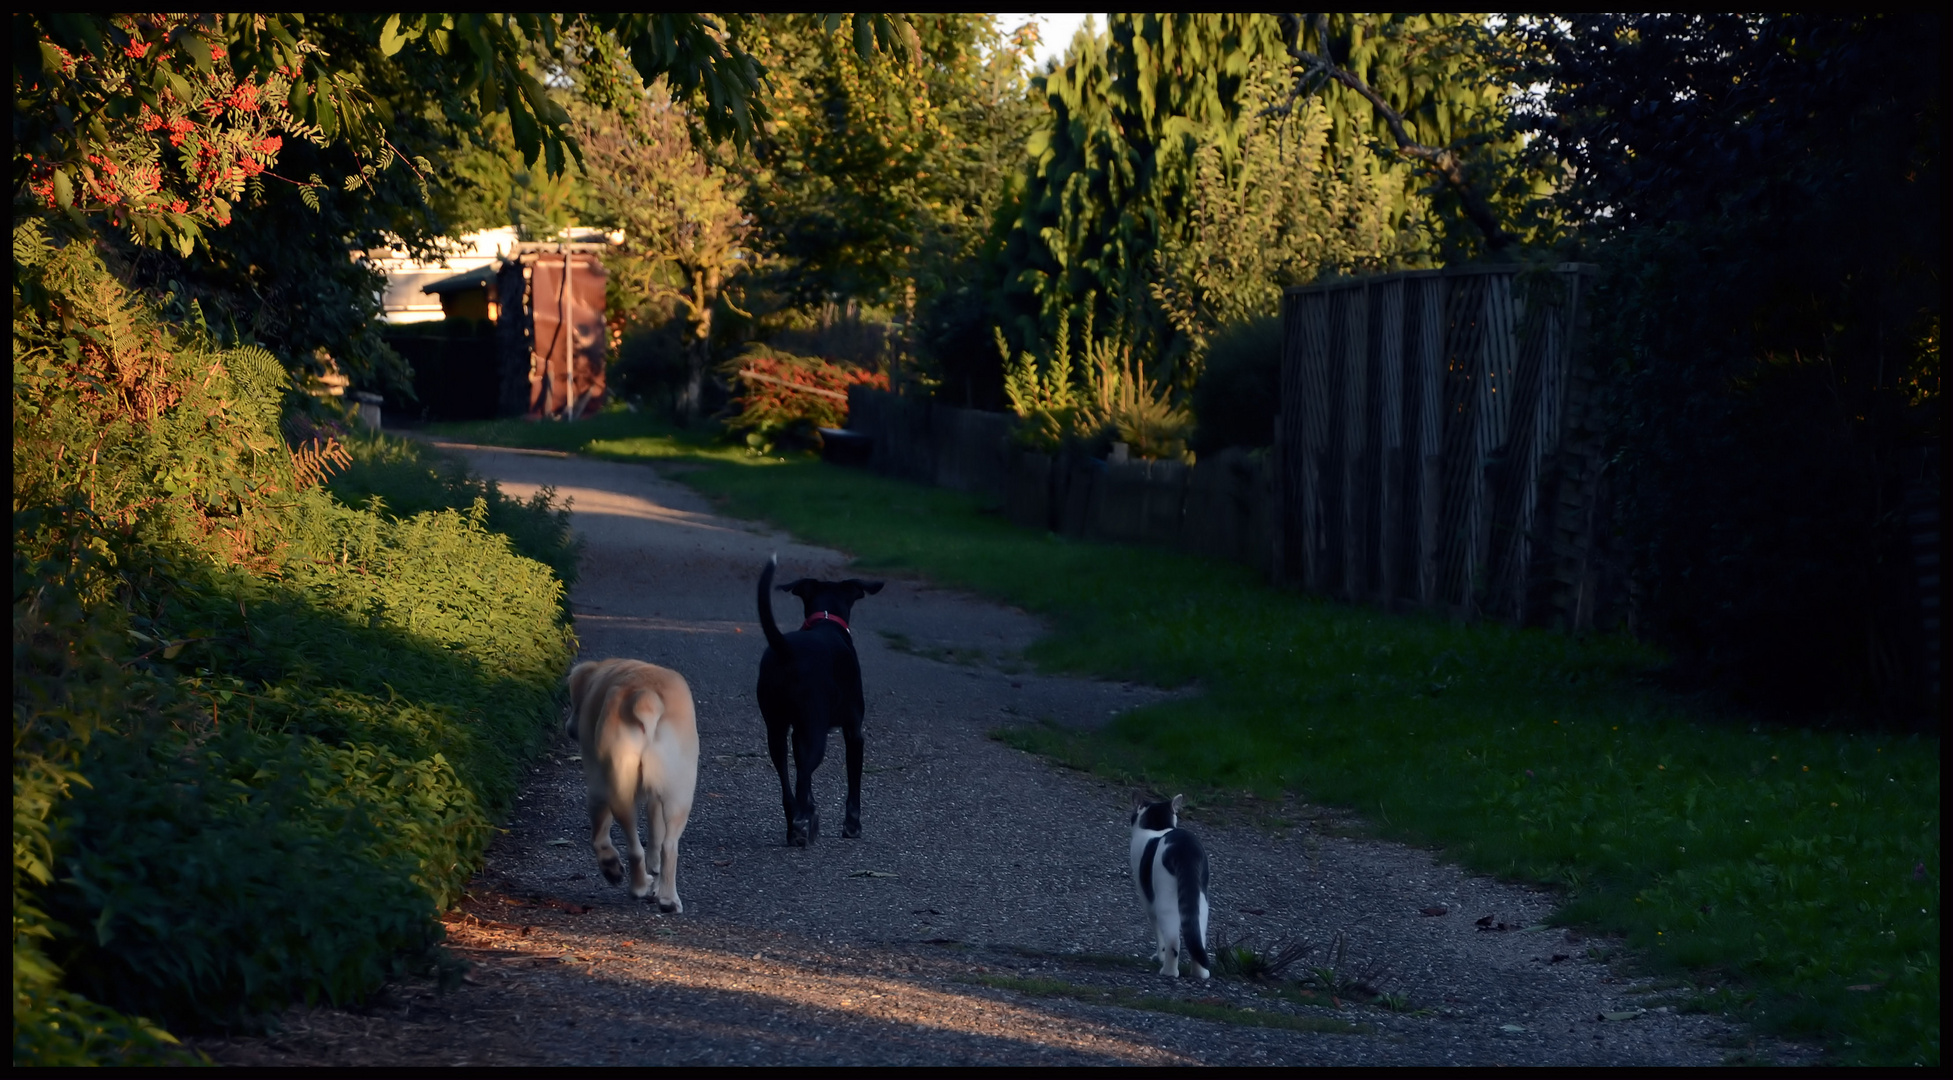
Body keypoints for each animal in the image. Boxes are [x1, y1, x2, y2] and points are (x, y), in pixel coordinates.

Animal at [566, 656, 703, 910]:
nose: (569, 728)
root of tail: (646, 696)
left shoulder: (596, 788)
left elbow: (599, 836)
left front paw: (611, 867)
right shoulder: (655, 800)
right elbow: (656, 841)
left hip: (616, 790)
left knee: (633, 847)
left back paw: (637, 887)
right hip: (679, 796)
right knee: (668, 847)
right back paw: (667, 899)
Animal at [753, 554, 886, 843]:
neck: (825, 620)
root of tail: (787, 651)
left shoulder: (797, 733)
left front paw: (812, 810)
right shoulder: (853, 732)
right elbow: (853, 783)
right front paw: (852, 826)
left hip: (775, 728)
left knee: (788, 780)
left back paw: (797, 824)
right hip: (816, 732)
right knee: (802, 777)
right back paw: (802, 824)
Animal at [1132, 792, 1203, 976]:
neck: (1159, 828)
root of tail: (1184, 848)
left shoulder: (1148, 899)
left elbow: (1158, 933)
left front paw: (1159, 956)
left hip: (1165, 896)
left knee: (1172, 940)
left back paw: (1169, 972)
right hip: (1197, 898)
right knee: (1195, 934)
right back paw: (1200, 973)